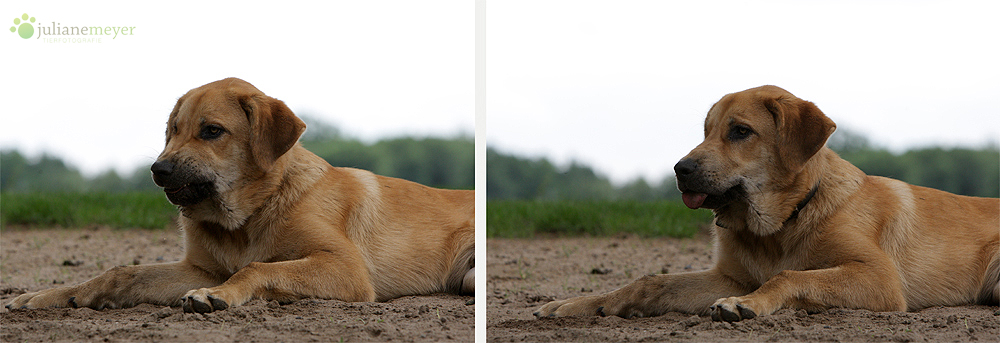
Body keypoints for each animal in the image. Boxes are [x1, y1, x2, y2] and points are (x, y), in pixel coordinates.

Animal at [6, 78, 476, 314]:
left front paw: (219, 296)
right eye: (172, 130)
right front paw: (48, 296)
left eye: (212, 130)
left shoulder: (346, 269)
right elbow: (120, 274)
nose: (157, 170)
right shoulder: (200, 268)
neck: (248, 219)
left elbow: (256, 269)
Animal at [536, 85, 1000, 322]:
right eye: (706, 131)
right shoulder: (730, 276)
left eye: (740, 131)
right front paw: (575, 305)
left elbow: (788, 275)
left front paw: (746, 305)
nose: (680, 169)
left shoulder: (879, 279)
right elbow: (649, 282)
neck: (778, 227)